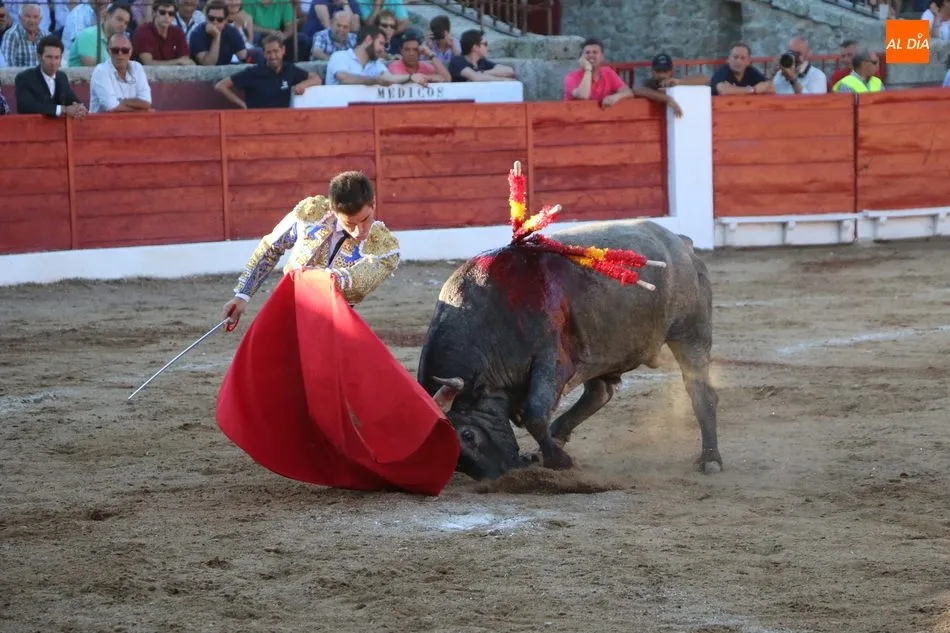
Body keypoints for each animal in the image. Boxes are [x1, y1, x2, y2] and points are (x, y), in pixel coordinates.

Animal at [419, 219, 721, 481]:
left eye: (468, 435)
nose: (503, 475)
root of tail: (681, 244)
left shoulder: (551, 359)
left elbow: (535, 414)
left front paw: (560, 460)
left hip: (690, 333)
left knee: (700, 392)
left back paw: (710, 459)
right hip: (601, 350)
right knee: (599, 393)